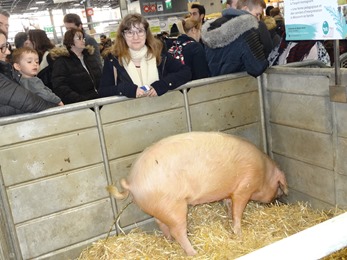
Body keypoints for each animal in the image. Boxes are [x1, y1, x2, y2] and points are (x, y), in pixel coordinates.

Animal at [108, 132, 288, 256]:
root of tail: (132, 182)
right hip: (173, 207)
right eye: (278, 186)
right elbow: (238, 211)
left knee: (160, 223)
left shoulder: (228, 191)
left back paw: (169, 240)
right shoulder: (244, 188)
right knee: (178, 231)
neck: (263, 173)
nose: (277, 199)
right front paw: (239, 233)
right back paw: (194, 253)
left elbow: (229, 205)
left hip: (159, 207)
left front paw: (229, 217)